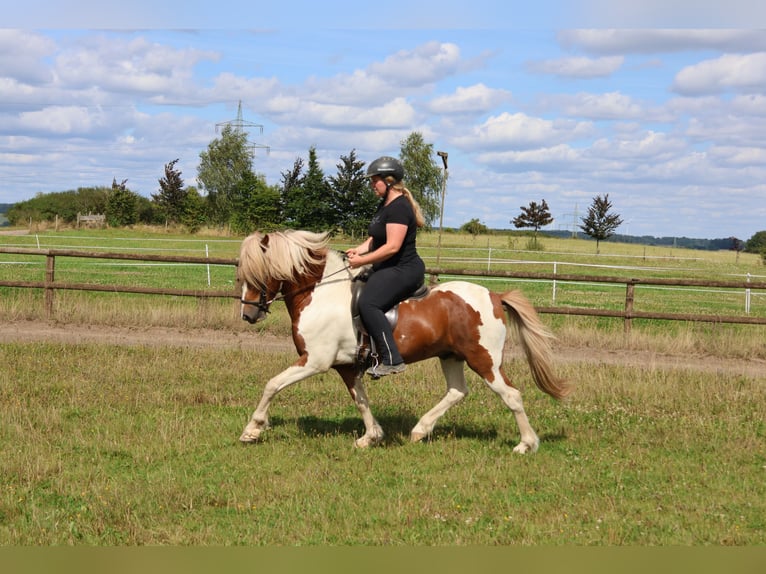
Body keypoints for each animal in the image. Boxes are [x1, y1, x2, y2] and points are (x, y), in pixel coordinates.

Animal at [238, 230, 568, 454]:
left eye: (257, 273)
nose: (248, 314)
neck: (320, 293)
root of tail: (495, 296)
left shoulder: (314, 361)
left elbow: (272, 384)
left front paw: (252, 430)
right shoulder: (345, 366)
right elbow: (361, 400)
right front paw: (371, 437)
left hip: (483, 359)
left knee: (511, 395)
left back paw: (526, 444)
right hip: (451, 356)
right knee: (457, 391)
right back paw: (420, 431)